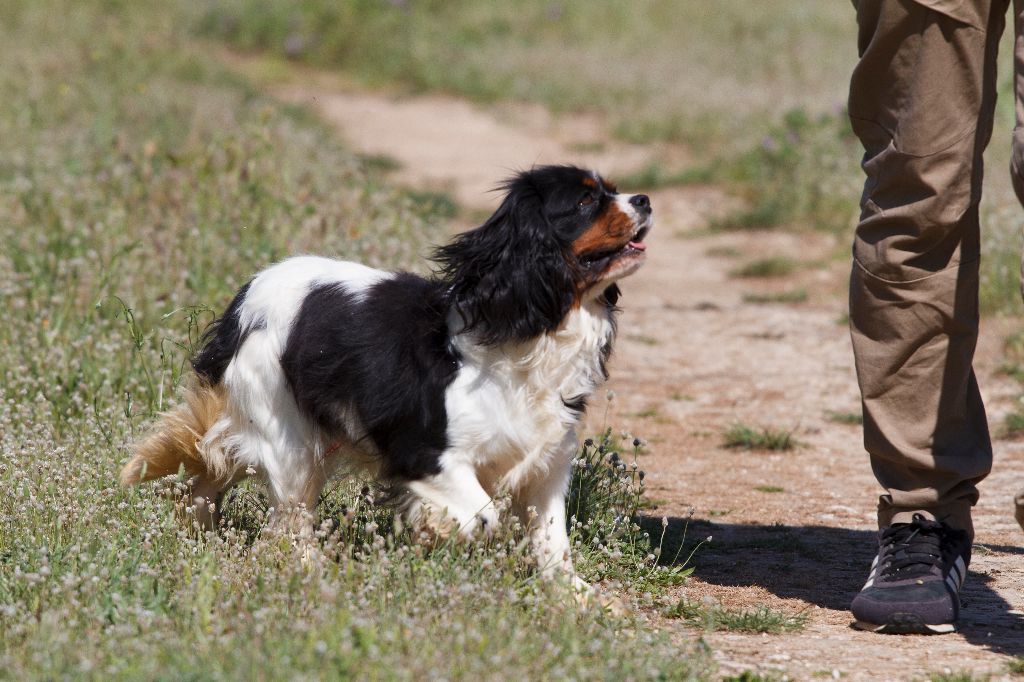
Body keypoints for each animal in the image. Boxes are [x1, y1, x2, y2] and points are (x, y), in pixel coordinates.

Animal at [119, 164, 647, 585]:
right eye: (585, 201)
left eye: (612, 190)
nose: (643, 200)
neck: (533, 333)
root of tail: (244, 297)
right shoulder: (426, 452)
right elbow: (482, 515)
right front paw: (435, 535)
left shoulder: (547, 464)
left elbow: (554, 540)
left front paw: (576, 599)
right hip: (288, 439)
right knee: (290, 516)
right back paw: (309, 569)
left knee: (208, 479)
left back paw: (199, 537)